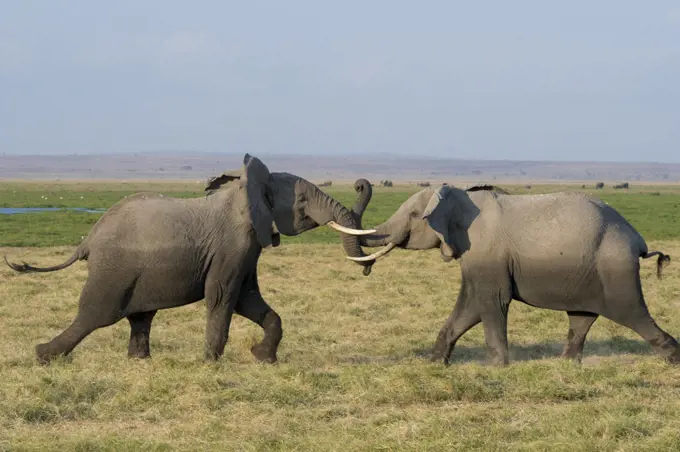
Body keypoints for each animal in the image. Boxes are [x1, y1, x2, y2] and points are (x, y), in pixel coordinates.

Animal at [2, 154, 378, 364]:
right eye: (302, 201)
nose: (360, 183)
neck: (247, 191)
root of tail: (88, 241)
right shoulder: (233, 244)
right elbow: (223, 296)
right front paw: (211, 363)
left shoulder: (247, 248)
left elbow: (248, 299)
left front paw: (263, 359)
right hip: (113, 272)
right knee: (95, 315)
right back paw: (43, 356)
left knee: (139, 316)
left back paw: (140, 362)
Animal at [350, 182, 676, 366]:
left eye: (415, 216)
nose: (359, 185)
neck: (460, 196)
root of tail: (638, 240)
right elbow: (470, 306)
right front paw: (435, 364)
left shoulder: (488, 253)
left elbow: (491, 302)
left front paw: (497, 367)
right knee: (582, 317)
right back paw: (566, 365)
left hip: (614, 268)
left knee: (631, 313)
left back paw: (672, 358)